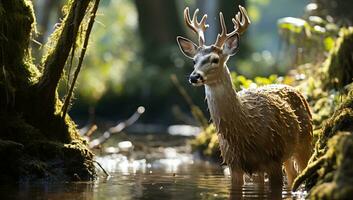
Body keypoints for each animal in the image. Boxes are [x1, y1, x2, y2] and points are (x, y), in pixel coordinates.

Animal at [176, 5, 310, 189]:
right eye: (194, 60)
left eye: (215, 59)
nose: (194, 77)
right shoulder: (233, 164)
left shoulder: (273, 158)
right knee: (292, 177)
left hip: (306, 140)